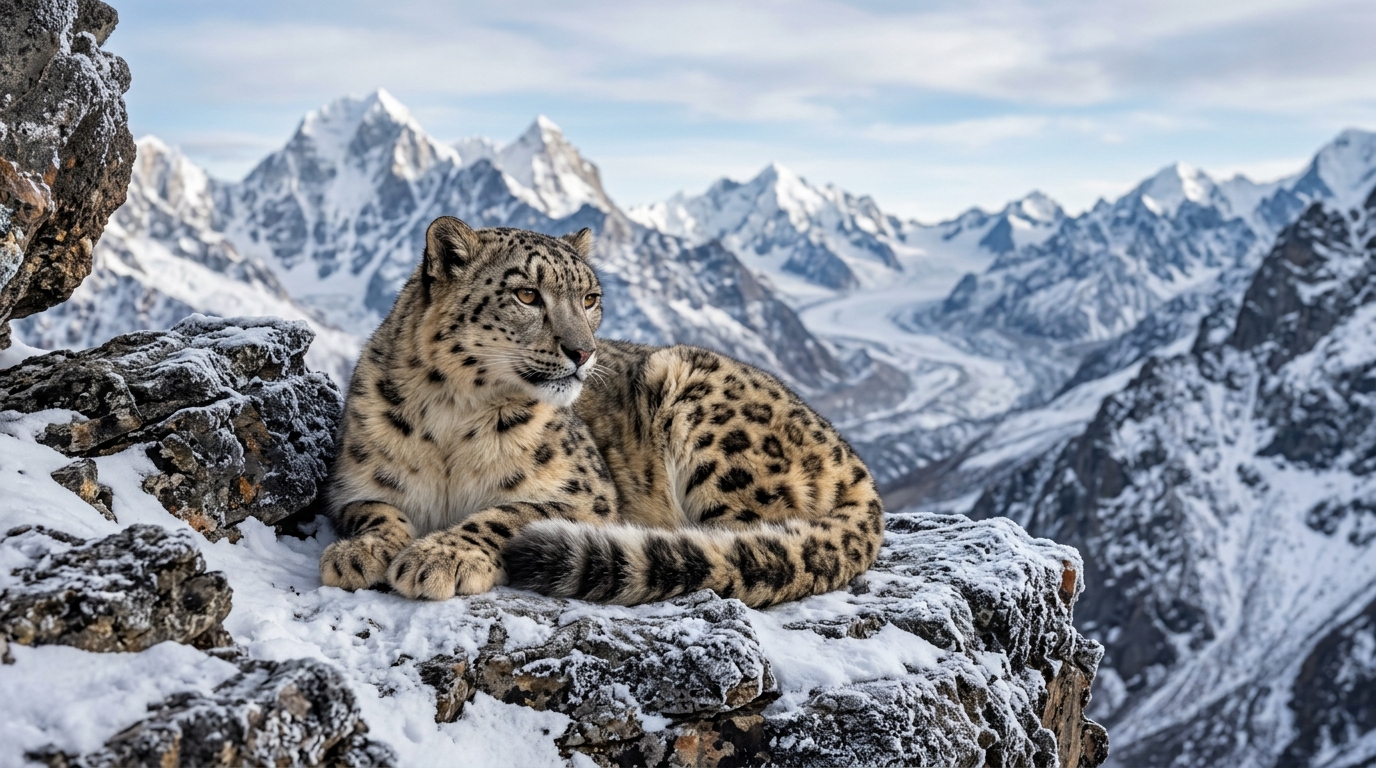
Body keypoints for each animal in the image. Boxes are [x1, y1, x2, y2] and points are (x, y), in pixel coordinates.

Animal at [319, 216, 884, 608]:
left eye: (590, 298)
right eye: (526, 294)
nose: (583, 351)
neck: (452, 420)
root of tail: (856, 464)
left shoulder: (585, 496)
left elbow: (508, 513)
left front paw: (441, 557)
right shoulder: (352, 485)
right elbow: (376, 512)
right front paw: (359, 553)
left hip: (706, 417)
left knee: (746, 537)